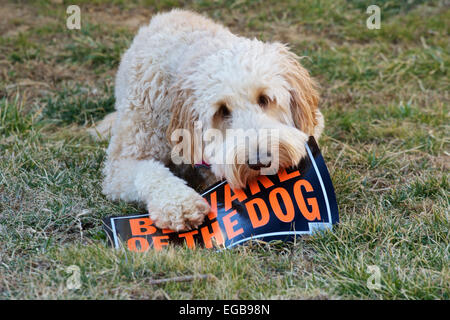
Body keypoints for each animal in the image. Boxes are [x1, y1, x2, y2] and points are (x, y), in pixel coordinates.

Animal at [92, 8, 324, 231]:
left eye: (264, 99)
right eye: (222, 110)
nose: (260, 161)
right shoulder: (121, 165)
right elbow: (150, 172)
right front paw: (180, 205)